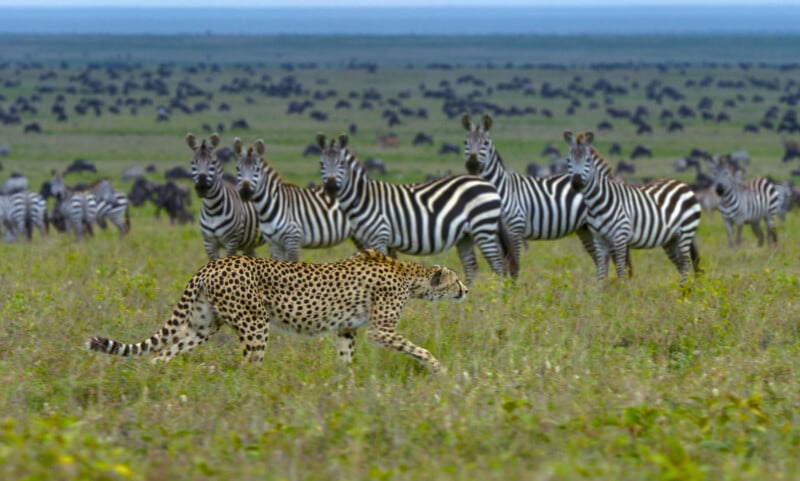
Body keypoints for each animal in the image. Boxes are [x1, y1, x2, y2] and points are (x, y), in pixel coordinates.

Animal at [86, 249, 468, 373]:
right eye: (456, 280)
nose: (466, 289)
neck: (409, 275)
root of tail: (213, 264)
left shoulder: (347, 329)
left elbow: (345, 359)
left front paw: (344, 387)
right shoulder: (381, 330)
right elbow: (418, 349)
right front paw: (439, 369)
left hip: (203, 326)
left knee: (160, 354)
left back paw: (154, 378)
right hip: (255, 324)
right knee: (248, 366)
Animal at [317, 133, 518, 285]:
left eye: (341, 164)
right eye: (321, 164)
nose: (331, 187)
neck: (363, 198)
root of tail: (490, 185)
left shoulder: (379, 236)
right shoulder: (368, 240)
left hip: (483, 226)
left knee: (498, 263)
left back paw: (496, 296)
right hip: (466, 235)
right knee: (472, 267)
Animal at [462, 114, 632, 277]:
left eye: (485, 143)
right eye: (465, 143)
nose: (472, 164)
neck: (501, 188)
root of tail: (609, 178)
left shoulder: (515, 229)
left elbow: (514, 266)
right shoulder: (495, 232)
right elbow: (501, 266)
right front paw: (500, 286)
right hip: (585, 229)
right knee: (600, 259)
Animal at [564, 131, 701, 284]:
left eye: (587, 160)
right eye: (568, 160)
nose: (576, 183)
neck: (597, 203)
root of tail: (681, 183)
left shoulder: (620, 237)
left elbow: (620, 270)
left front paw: (622, 289)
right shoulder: (599, 240)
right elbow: (601, 272)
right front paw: (601, 291)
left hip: (686, 232)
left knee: (686, 263)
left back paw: (684, 289)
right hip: (671, 239)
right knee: (680, 264)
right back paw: (682, 289)